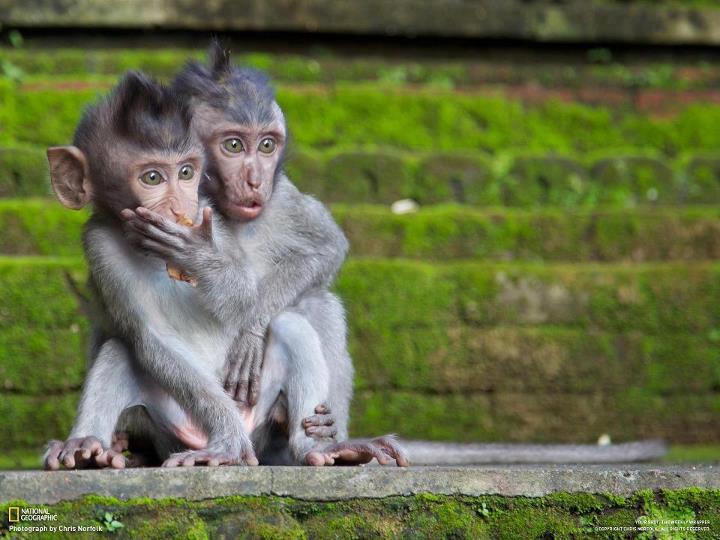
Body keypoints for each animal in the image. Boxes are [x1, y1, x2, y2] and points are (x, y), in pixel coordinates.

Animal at [121, 45, 408, 468]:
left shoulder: (282, 195)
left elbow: (328, 245)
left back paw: (329, 436)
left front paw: (251, 329)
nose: (256, 180)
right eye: (234, 146)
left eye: (267, 146)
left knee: (316, 299)